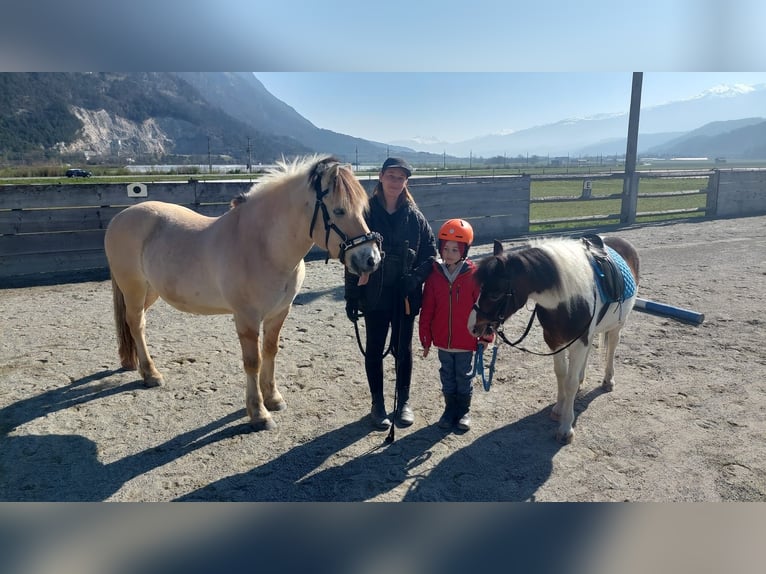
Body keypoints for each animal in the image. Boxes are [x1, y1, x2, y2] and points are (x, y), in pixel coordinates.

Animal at [105, 155, 384, 430]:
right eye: (339, 210)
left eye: (362, 210)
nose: (371, 259)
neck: (264, 246)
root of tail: (121, 217)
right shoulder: (246, 317)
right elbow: (253, 361)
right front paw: (259, 413)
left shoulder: (279, 313)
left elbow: (270, 351)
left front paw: (273, 398)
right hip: (134, 287)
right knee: (136, 323)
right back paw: (151, 374)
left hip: (151, 291)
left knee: (136, 323)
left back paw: (137, 366)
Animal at [468, 236, 640, 444]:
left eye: (495, 294)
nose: (472, 327)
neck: (567, 300)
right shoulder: (554, 340)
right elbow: (561, 374)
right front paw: (559, 408)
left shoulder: (578, 342)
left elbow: (570, 382)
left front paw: (566, 428)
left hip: (617, 324)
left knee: (612, 346)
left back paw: (608, 380)